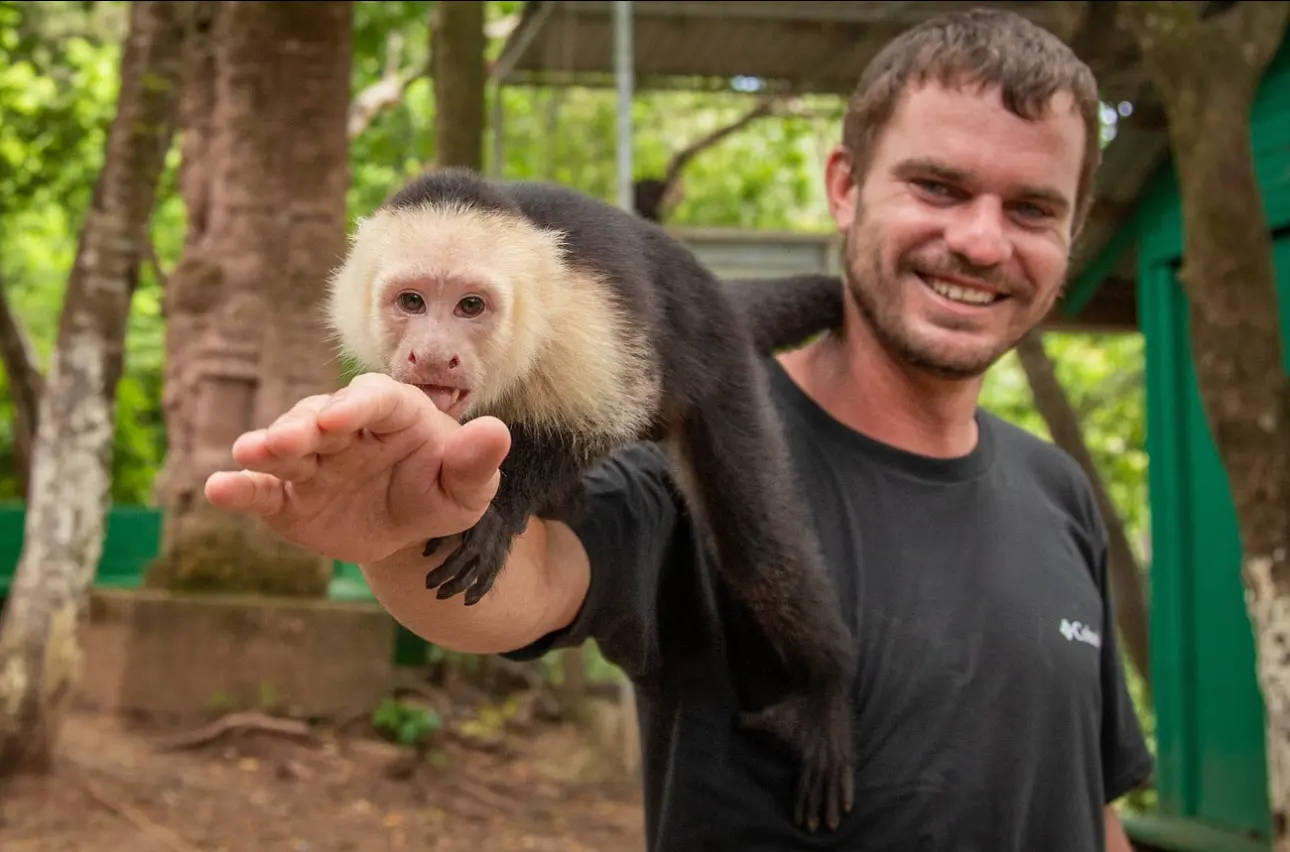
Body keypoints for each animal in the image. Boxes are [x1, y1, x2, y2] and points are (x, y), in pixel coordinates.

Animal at [324, 165, 855, 831]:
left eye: (471, 305)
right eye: (411, 301)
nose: (434, 354)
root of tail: (712, 290)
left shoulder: (584, 313)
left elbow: (598, 417)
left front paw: (500, 510)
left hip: (723, 365)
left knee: (758, 547)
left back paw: (828, 684)